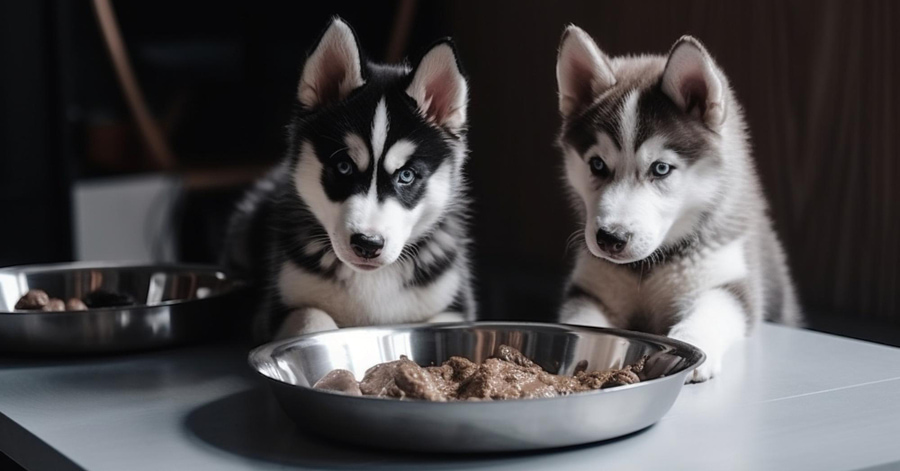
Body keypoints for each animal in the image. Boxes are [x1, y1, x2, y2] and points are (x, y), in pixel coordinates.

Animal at [224, 18, 474, 342]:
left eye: (406, 175)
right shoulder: (273, 313)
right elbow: (312, 318)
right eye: (343, 167)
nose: (367, 244)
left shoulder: (454, 309)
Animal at [556, 25, 800, 384]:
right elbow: (583, 323)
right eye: (597, 165)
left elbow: (712, 311)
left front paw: (689, 347)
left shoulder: (729, 281)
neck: (647, 268)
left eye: (660, 168)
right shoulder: (589, 290)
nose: (610, 239)